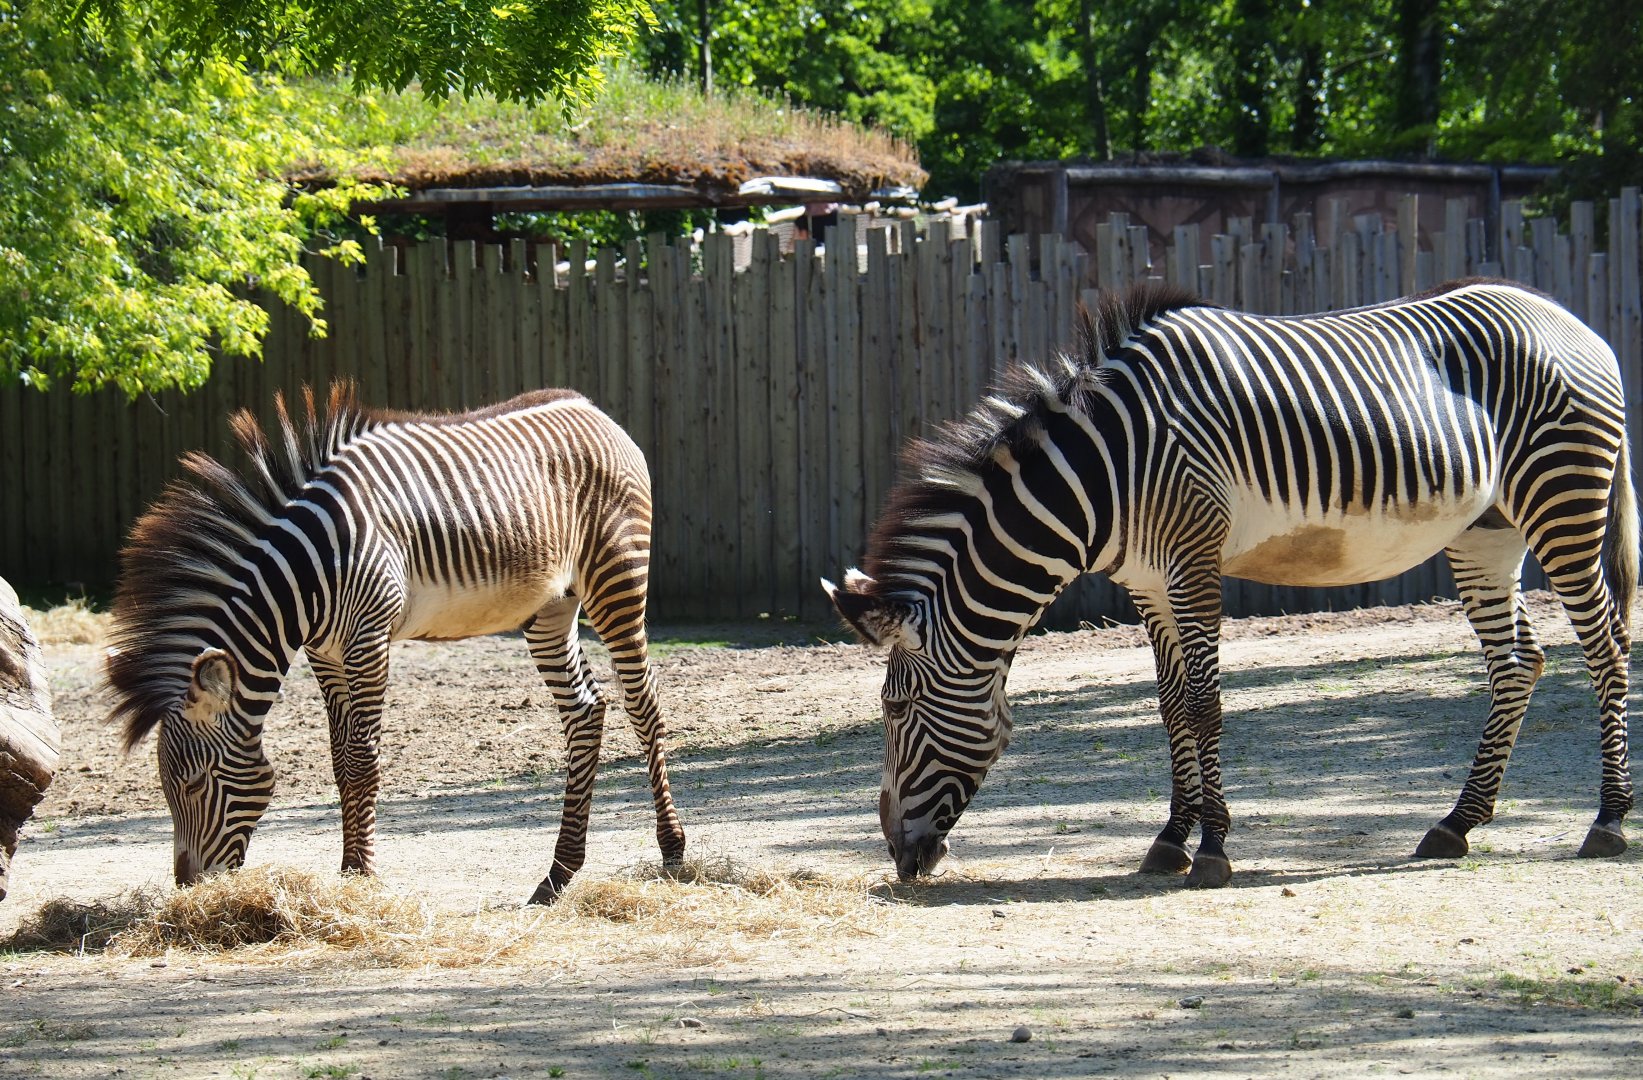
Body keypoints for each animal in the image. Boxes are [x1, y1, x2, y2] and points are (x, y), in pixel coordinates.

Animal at [107, 383, 685, 904]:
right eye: (167, 788)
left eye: (195, 784)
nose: (189, 888)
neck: (306, 575)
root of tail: (594, 411)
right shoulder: (325, 653)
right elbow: (340, 759)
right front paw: (347, 871)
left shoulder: (368, 638)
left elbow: (363, 757)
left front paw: (363, 875)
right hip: (551, 606)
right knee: (585, 711)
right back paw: (558, 875)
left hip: (616, 577)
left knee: (643, 705)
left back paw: (672, 850)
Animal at [826, 279, 1635, 888]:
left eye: (894, 709)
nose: (899, 857)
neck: (1101, 476)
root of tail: (1572, 321)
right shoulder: (1148, 582)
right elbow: (1169, 708)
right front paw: (1168, 840)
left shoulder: (1192, 561)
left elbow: (1205, 705)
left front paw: (1212, 849)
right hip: (1486, 530)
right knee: (1518, 663)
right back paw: (1457, 823)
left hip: (1562, 498)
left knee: (1606, 650)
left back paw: (1607, 820)